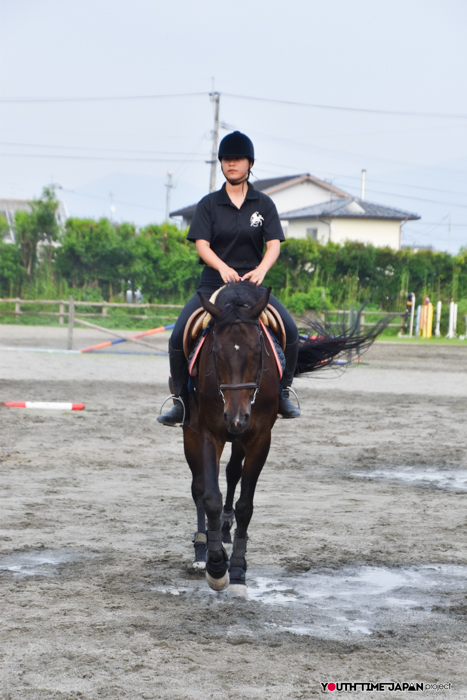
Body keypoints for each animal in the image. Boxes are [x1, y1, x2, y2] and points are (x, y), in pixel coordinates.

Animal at [179, 281, 384, 595]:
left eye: (257, 352)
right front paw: (216, 567)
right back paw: (202, 550)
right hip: (192, 432)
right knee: (199, 487)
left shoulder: (260, 438)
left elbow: (245, 505)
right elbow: (210, 496)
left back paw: (224, 531)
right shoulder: (209, 433)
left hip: (240, 438)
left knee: (232, 473)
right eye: (215, 352)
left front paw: (237, 571)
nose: (236, 417)